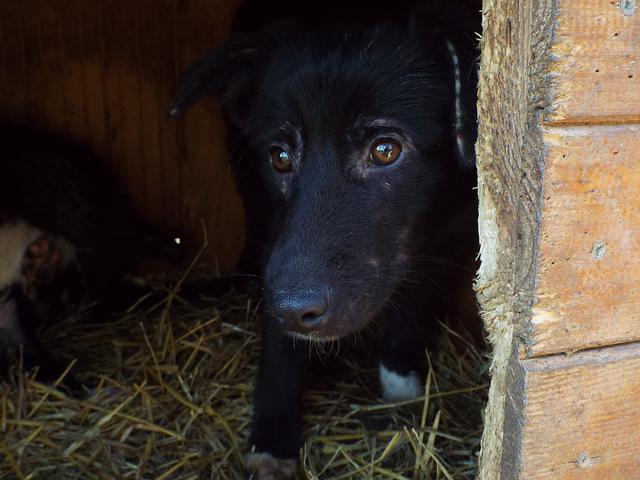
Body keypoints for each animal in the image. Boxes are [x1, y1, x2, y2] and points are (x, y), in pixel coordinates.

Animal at [170, 1, 480, 476]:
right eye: (279, 157)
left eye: (386, 150)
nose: (292, 310)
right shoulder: (276, 237)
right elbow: (279, 348)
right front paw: (272, 441)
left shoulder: (450, 238)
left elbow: (414, 302)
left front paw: (401, 383)